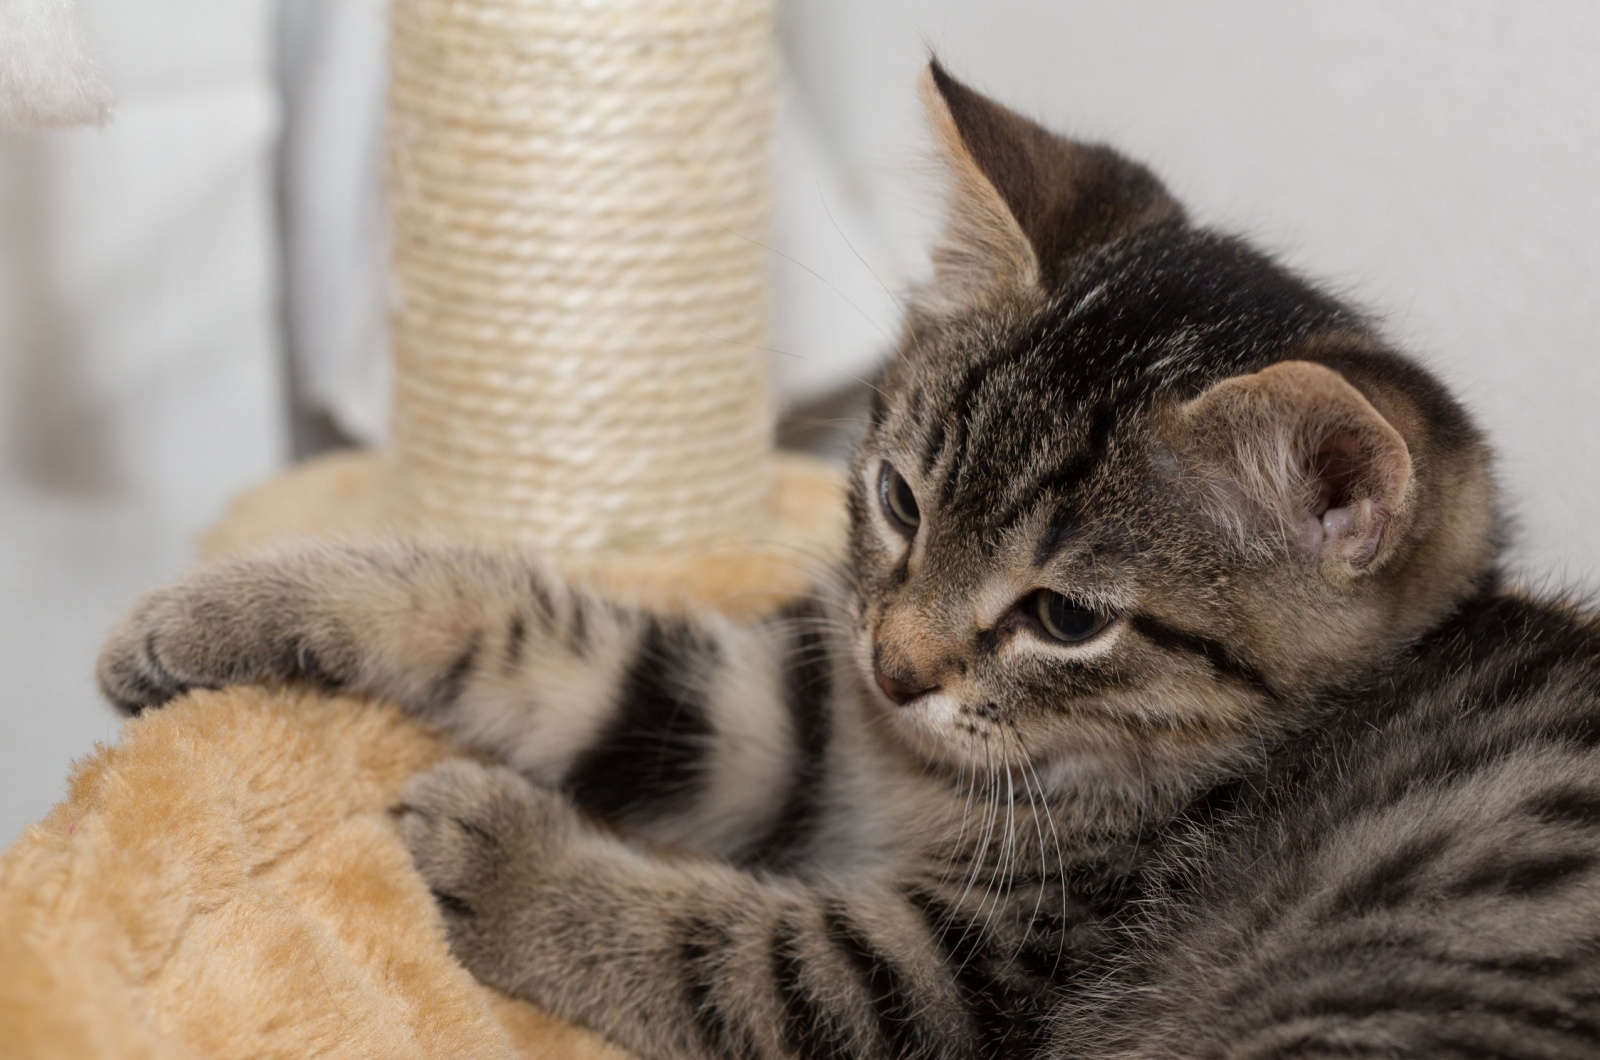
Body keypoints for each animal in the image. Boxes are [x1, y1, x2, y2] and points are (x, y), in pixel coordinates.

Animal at [100, 64, 1600, 1060]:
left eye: (1066, 617)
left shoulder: (975, 974)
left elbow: (742, 958)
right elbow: (561, 644)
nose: (898, 664)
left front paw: (510, 857)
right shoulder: (799, 713)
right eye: (898, 499)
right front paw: (228, 606)